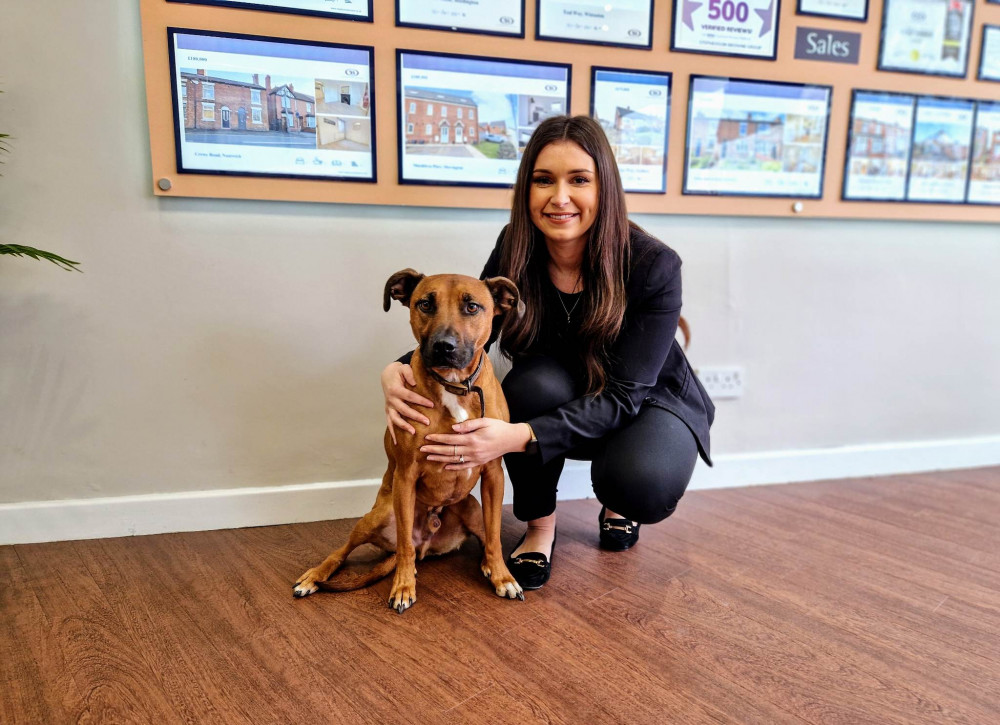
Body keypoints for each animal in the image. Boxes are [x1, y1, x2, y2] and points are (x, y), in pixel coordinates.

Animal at [294, 270, 524, 612]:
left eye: (472, 307)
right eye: (425, 304)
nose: (444, 347)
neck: (454, 385)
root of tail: (426, 543)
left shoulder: (493, 474)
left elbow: (495, 536)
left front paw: (502, 576)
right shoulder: (406, 476)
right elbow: (403, 544)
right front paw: (403, 587)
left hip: (471, 507)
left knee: (479, 538)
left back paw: (483, 564)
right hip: (376, 515)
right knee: (349, 550)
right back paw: (316, 576)